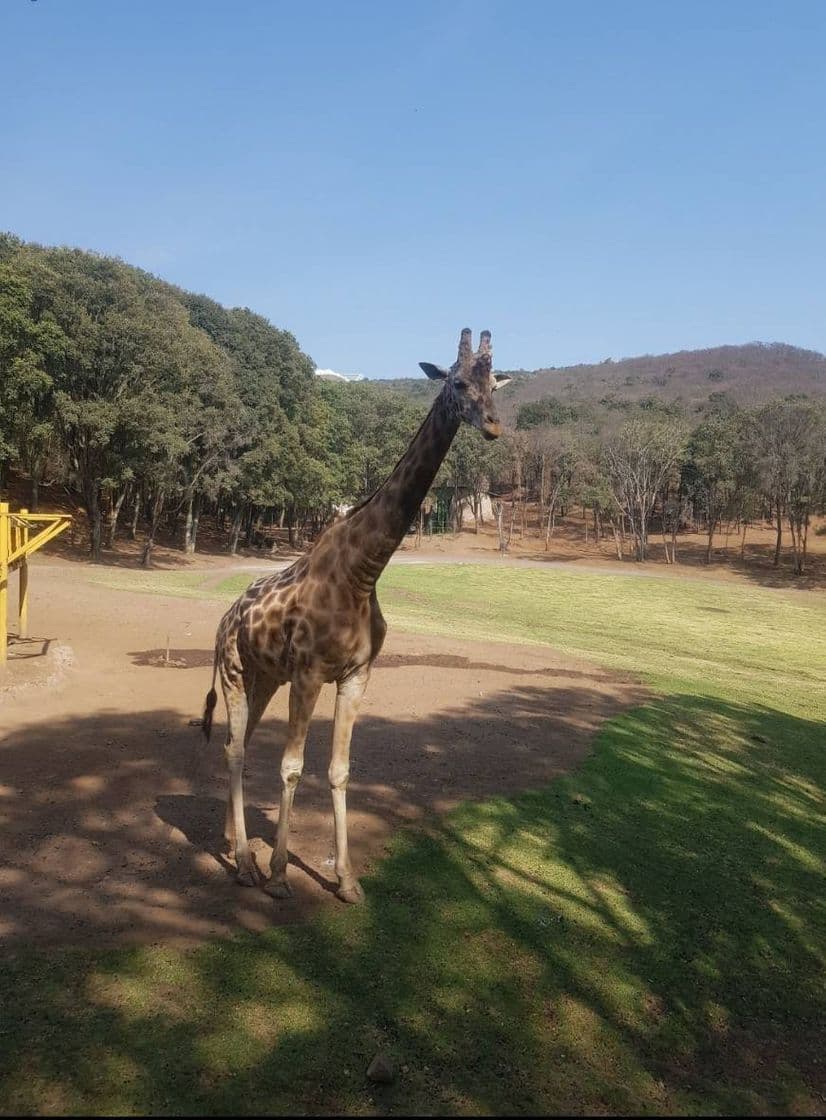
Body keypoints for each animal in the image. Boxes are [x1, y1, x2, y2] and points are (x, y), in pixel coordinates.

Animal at [200, 327, 508, 904]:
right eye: (458, 382)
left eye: (494, 382)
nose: (494, 425)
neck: (364, 571)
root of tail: (226, 618)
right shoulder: (309, 673)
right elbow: (292, 766)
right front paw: (280, 876)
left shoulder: (357, 675)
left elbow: (340, 770)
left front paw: (346, 880)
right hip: (232, 669)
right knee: (233, 749)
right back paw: (248, 865)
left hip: (263, 677)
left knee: (239, 742)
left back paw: (233, 845)